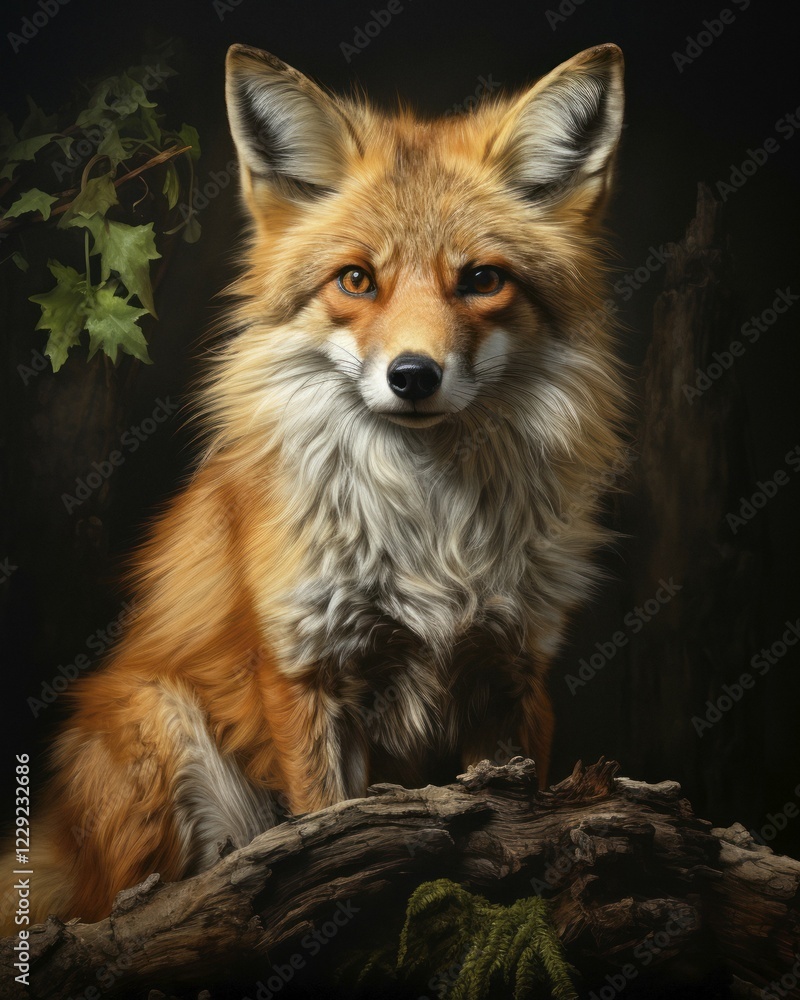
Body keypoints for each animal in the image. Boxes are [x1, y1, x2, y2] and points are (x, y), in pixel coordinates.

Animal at [4, 41, 625, 930]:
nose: (413, 376)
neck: (430, 534)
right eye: (357, 280)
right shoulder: (308, 673)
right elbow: (326, 832)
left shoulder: (514, 676)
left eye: (482, 280)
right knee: (111, 906)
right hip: (156, 723)